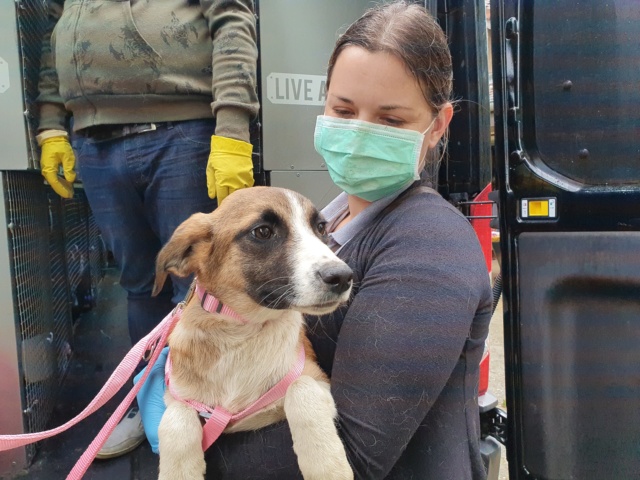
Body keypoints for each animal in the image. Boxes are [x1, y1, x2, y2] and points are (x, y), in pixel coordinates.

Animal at [155, 187, 356, 480]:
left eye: (320, 227)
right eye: (262, 232)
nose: (342, 277)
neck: (241, 334)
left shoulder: (318, 379)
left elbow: (301, 387)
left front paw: (327, 465)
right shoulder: (178, 396)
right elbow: (175, 417)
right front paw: (179, 472)